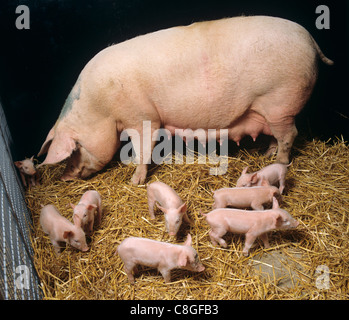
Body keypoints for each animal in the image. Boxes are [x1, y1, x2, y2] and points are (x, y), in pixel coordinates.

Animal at [37, 15, 332, 185]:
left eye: (75, 149)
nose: (65, 177)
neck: (100, 109)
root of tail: (311, 40)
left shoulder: (142, 116)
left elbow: (144, 148)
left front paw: (134, 182)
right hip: (269, 109)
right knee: (277, 135)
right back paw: (266, 154)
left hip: (280, 102)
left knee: (290, 135)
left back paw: (278, 162)